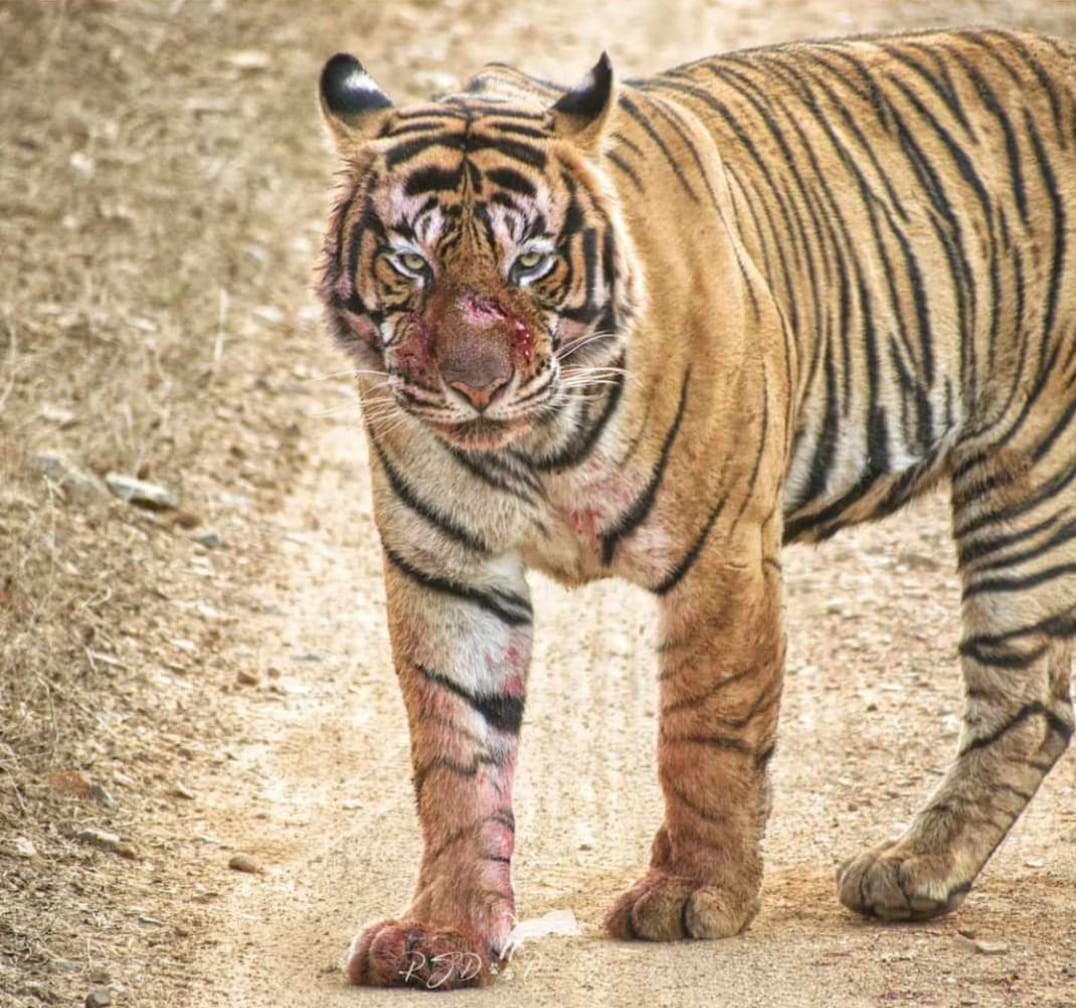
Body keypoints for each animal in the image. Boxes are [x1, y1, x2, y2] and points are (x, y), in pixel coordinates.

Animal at [315, 27, 1076, 989]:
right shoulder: (447, 568)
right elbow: (457, 757)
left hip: (1028, 476)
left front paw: (693, 895)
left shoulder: (723, 552)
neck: (536, 445)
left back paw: (910, 869)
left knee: (1025, 693)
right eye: (411, 263)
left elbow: (705, 732)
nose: (476, 387)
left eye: (532, 262)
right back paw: (918, 872)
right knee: (1037, 701)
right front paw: (444, 933)